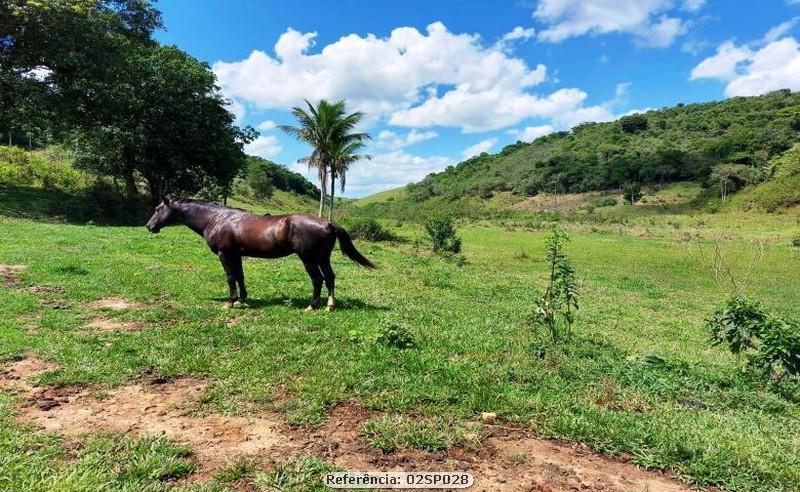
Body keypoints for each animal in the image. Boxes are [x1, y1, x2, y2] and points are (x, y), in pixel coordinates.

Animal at [145, 197, 376, 310]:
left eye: (157, 209)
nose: (149, 226)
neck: (217, 219)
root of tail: (327, 223)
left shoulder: (225, 255)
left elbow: (230, 277)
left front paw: (230, 303)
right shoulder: (236, 255)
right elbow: (240, 276)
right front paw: (242, 300)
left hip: (308, 259)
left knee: (318, 279)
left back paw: (312, 306)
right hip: (322, 258)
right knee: (329, 278)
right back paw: (330, 305)